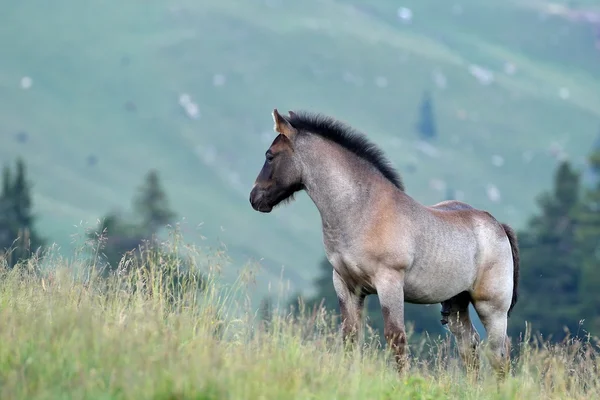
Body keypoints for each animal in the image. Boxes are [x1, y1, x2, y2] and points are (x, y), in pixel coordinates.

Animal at [248, 108, 520, 378]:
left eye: (270, 155)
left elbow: (395, 337)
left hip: (492, 307)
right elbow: (350, 337)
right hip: (456, 302)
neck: (362, 209)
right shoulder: (345, 284)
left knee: (499, 351)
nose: (255, 198)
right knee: (469, 343)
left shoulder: (389, 282)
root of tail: (498, 225)